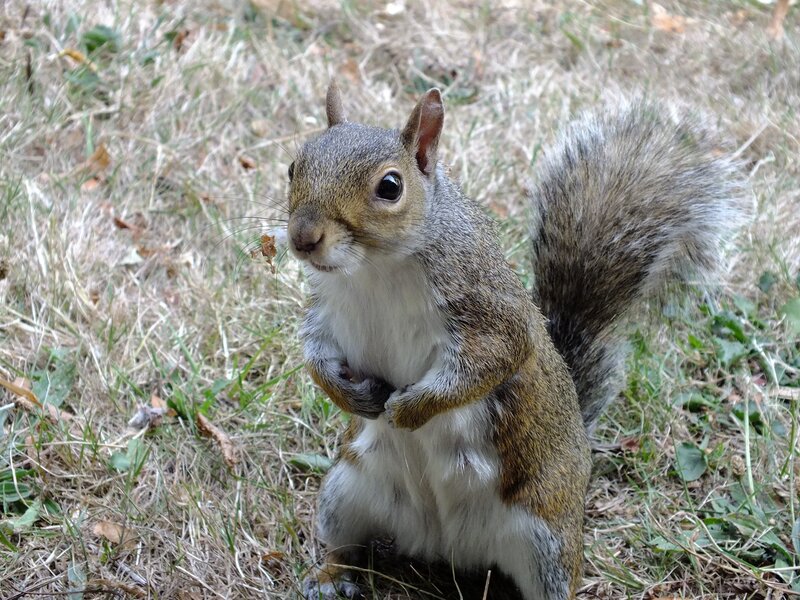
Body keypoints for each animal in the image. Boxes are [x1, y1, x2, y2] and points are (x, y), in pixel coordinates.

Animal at [285, 82, 746, 600]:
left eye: (390, 187)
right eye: (294, 166)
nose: (303, 237)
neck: (374, 270)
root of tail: (444, 547)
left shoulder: (489, 311)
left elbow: (490, 362)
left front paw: (409, 409)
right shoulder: (328, 311)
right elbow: (316, 354)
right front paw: (349, 395)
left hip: (545, 539)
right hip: (345, 491)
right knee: (344, 544)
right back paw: (330, 576)